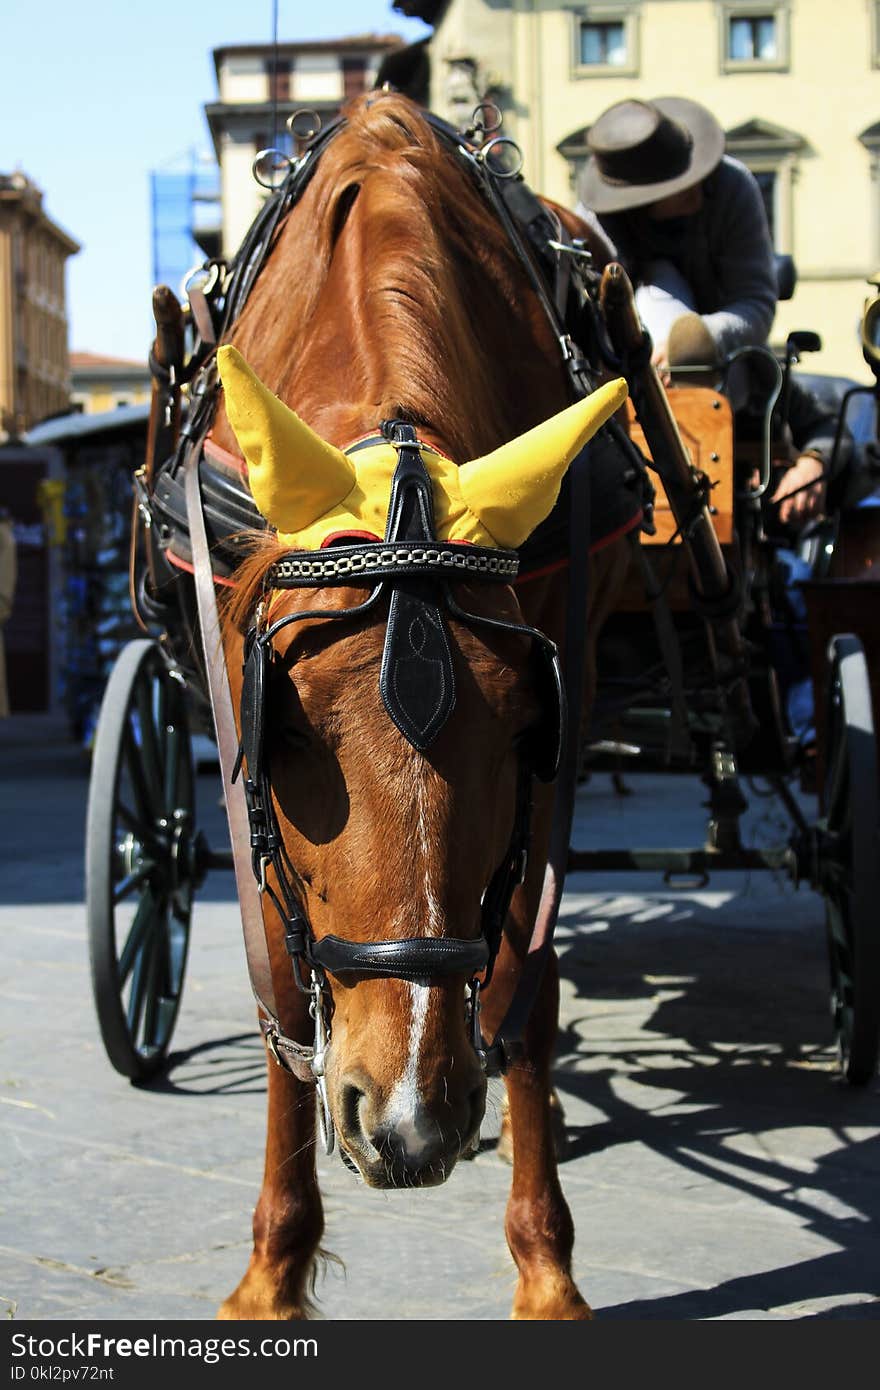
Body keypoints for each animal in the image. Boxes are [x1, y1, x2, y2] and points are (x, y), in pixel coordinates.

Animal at [208, 92, 628, 1317]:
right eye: (285, 730)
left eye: (528, 725)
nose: (406, 1125)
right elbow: (278, 981)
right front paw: (272, 1267)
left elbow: (530, 974)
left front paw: (547, 1266)